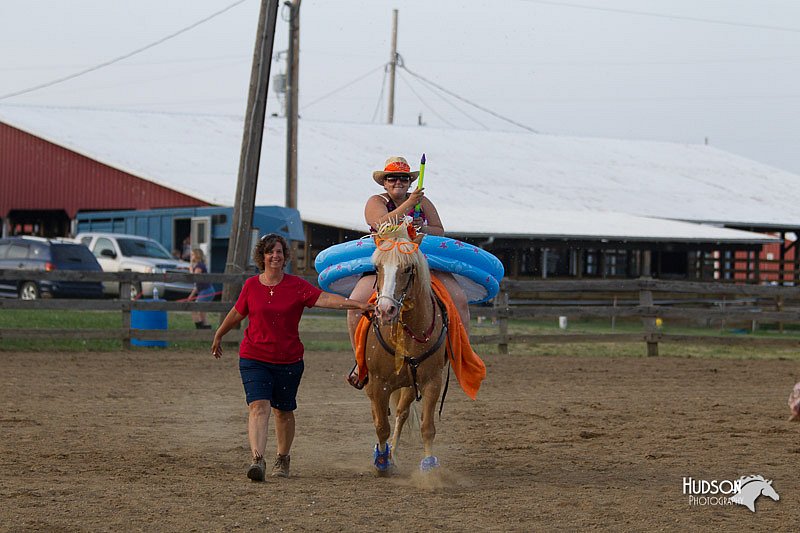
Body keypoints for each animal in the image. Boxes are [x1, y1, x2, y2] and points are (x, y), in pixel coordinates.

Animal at [364, 220, 450, 474]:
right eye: (377, 268)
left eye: (408, 268)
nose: (385, 310)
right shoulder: (378, 384)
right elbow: (381, 426)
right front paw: (381, 461)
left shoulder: (432, 381)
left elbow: (427, 427)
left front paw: (430, 467)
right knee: (379, 415)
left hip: (410, 385)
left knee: (402, 413)